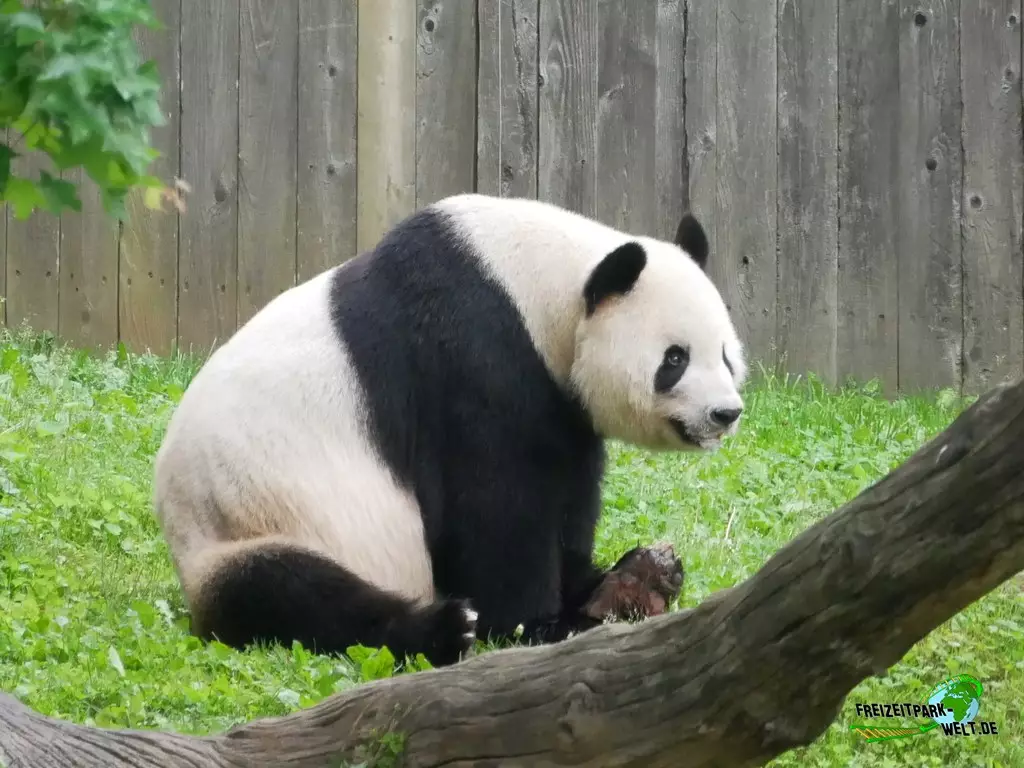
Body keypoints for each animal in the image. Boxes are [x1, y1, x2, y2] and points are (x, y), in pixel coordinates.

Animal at [152, 193, 747, 668]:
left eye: (725, 353)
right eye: (675, 359)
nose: (725, 413)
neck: (543, 285)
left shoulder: (562, 403)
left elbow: (571, 489)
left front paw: (608, 583)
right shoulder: (469, 354)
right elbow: (494, 502)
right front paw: (541, 624)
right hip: (249, 523)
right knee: (290, 594)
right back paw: (444, 629)